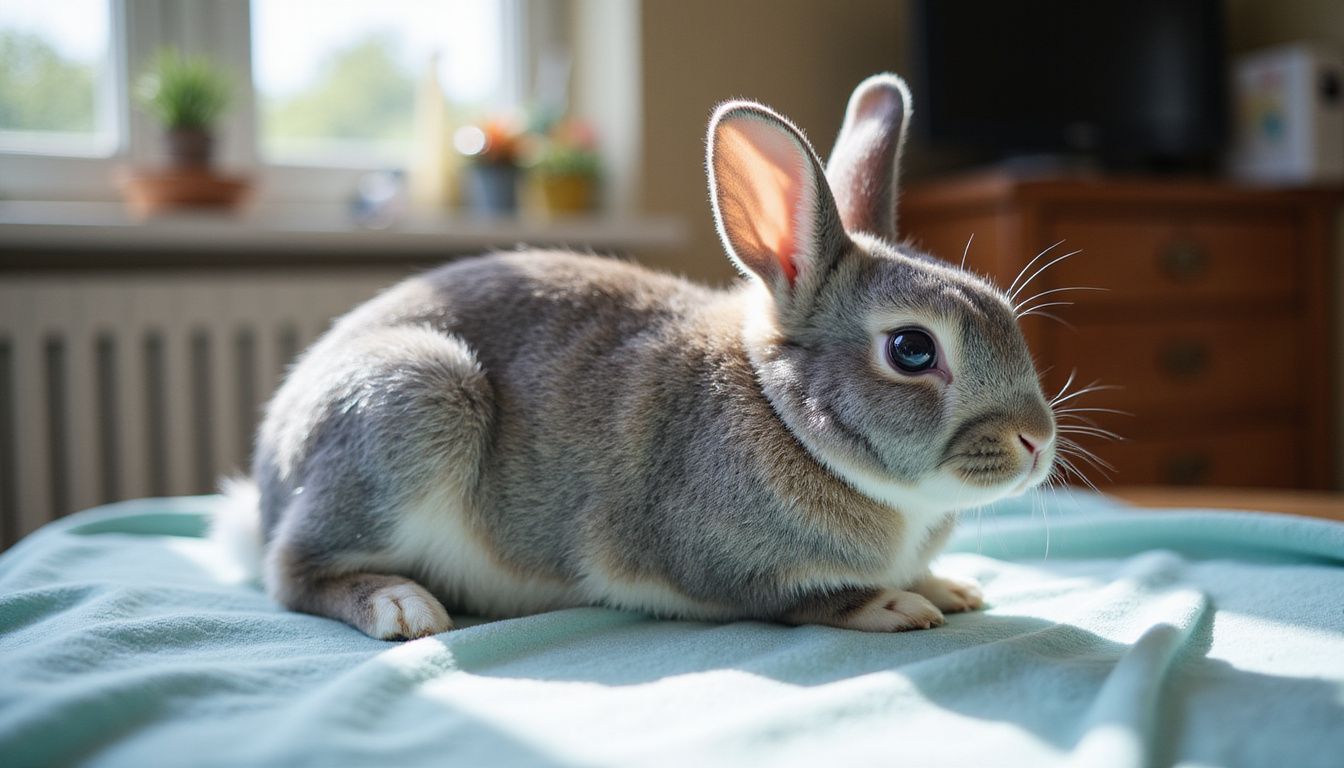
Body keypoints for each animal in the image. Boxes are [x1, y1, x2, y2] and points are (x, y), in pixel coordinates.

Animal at [218, 73, 1057, 640]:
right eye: (912, 349)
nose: (1037, 441)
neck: (782, 415)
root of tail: (267, 483)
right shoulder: (723, 570)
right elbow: (800, 601)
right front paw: (895, 603)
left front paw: (948, 589)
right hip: (413, 398)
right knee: (292, 574)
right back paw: (402, 606)